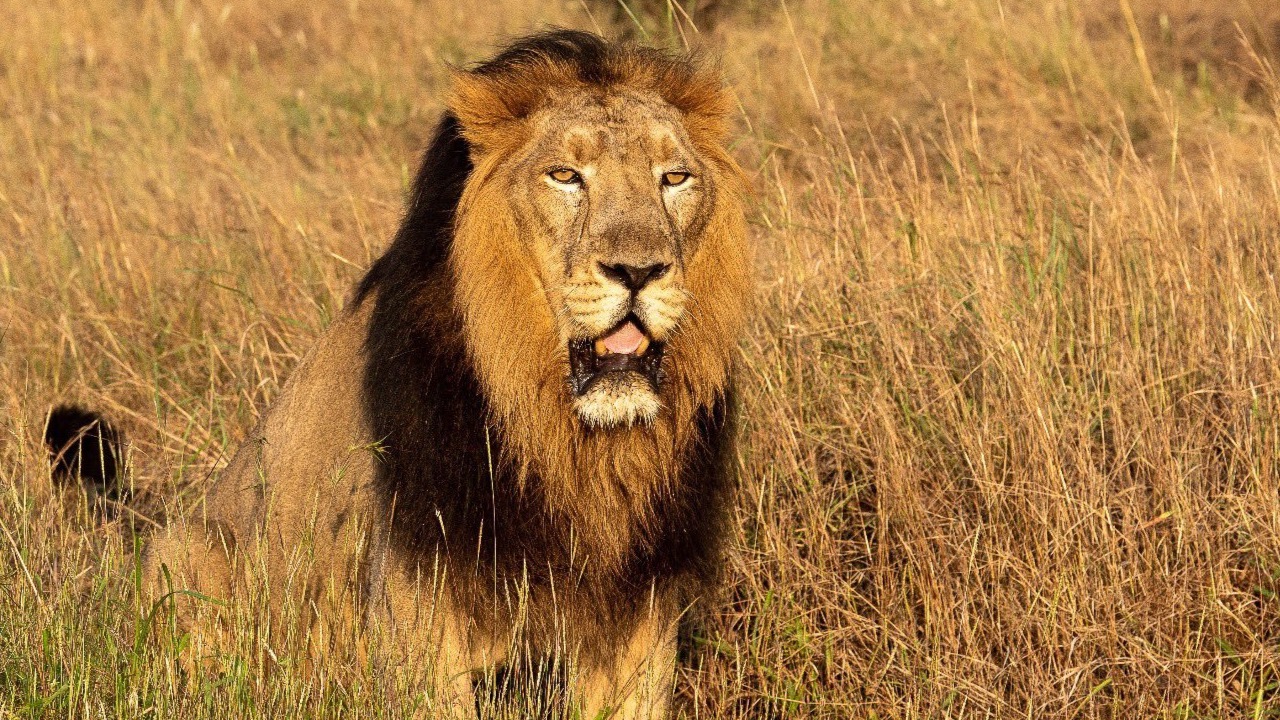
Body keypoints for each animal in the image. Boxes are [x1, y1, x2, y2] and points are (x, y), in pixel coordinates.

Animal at [47, 29, 750, 719]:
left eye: (674, 178)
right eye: (565, 176)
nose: (639, 271)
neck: (571, 442)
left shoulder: (641, 613)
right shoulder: (419, 610)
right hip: (191, 558)